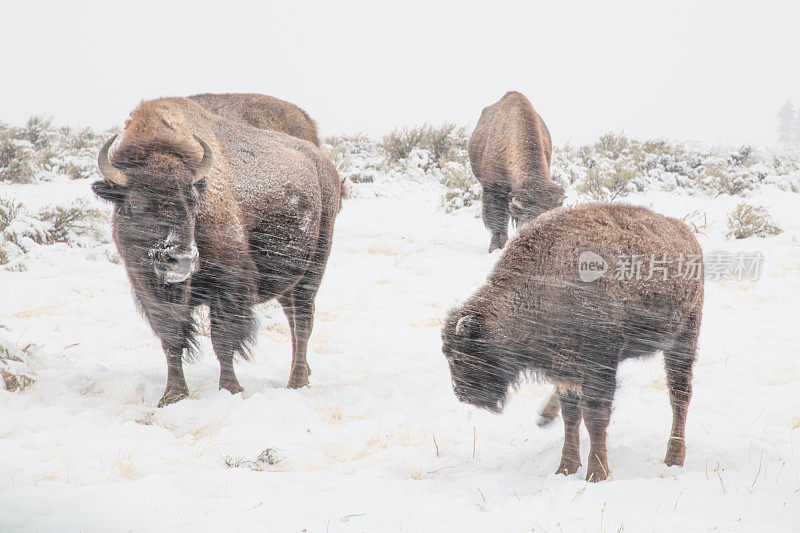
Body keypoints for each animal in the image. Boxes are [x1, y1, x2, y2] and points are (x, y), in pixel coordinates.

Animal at [440, 202, 704, 480]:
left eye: (458, 357)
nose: (462, 394)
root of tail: (686, 233)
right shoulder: (564, 369)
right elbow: (571, 416)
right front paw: (565, 468)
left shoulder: (599, 365)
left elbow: (594, 417)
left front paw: (597, 474)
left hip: (683, 340)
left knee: (679, 396)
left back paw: (673, 458)